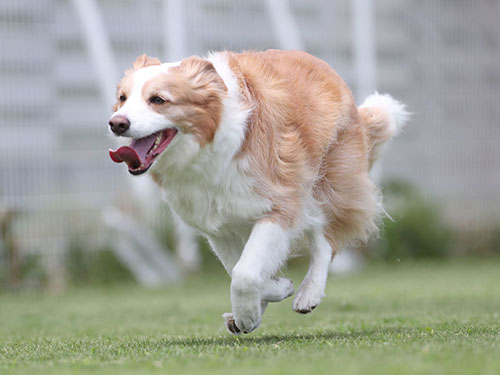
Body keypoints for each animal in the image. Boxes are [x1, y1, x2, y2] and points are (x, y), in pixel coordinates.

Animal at [107, 50, 408, 334]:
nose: (117, 123)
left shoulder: (280, 204)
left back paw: (308, 293)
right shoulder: (220, 224)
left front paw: (253, 311)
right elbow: (240, 269)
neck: (210, 143)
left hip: (328, 184)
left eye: (158, 100)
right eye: (122, 98)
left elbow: (244, 274)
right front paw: (269, 294)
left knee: (325, 241)